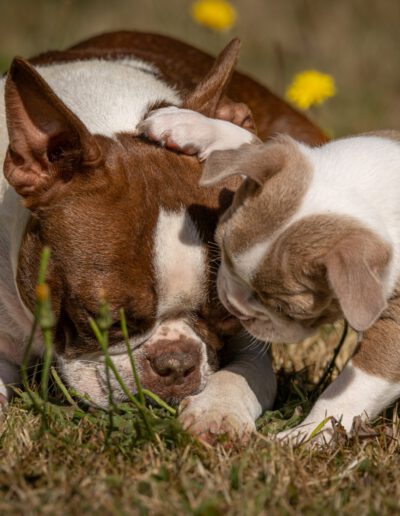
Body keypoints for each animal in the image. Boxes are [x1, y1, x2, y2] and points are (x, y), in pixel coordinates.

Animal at [0, 30, 324, 440]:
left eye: (225, 317)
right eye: (104, 319)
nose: (174, 363)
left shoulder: (250, 339)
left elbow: (241, 375)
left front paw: (217, 412)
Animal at [141, 106, 400, 444]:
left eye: (285, 309)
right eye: (222, 250)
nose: (236, 307)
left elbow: (352, 389)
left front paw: (308, 435)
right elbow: (252, 145)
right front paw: (189, 124)